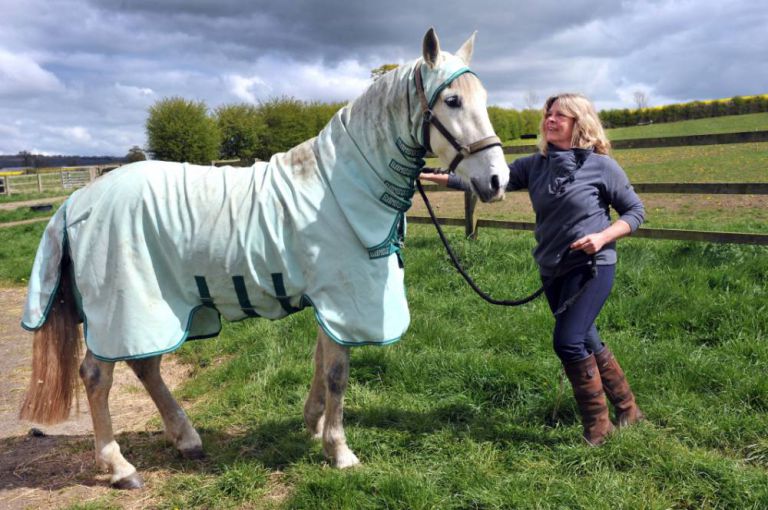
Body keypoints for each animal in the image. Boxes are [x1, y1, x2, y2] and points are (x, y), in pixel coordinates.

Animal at [18, 28, 509, 489]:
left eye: (484, 99)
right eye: (452, 100)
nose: (498, 180)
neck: (337, 189)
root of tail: (79, 200)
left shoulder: (329, 301)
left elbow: (320, 362)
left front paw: (314, 425)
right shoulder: (343, 299)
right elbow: (337, 372)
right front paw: (339, 450)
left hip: (153, 308)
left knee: (145, 364)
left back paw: (186, 439)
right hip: (124, 307)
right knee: (97, 376)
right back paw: (120, 467)